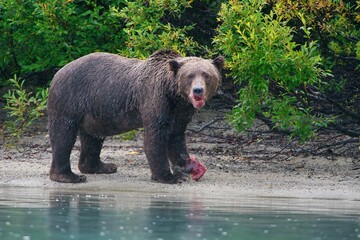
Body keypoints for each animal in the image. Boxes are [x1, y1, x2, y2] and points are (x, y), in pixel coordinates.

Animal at [46, 49, 224, 183]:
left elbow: (176, 137)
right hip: (69, 98)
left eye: (207, 75)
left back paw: (103, 166)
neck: (175, 96)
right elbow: (155, 138)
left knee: (92, 138)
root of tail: (58, 72)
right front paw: (169, 177)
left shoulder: (181, 112)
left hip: (94, 112)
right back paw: (69, 176)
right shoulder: (156, 100)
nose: (197, 90)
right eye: (189, 75)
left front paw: (187, 166)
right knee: (63, 135)